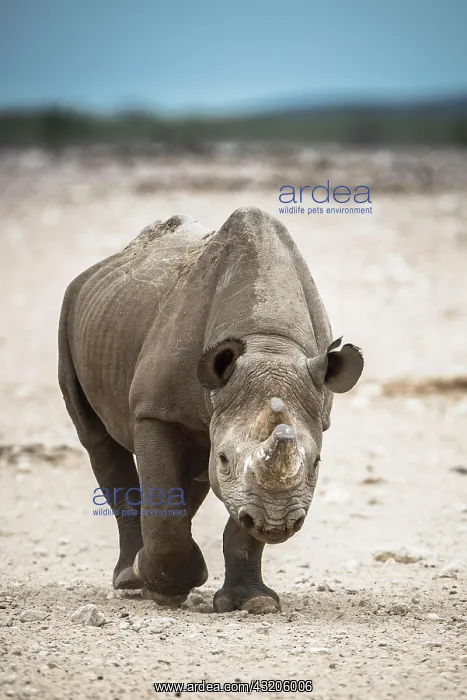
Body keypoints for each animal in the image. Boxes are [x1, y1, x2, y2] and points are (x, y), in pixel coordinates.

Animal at [58, 206, 363, 614]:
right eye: (224, 460)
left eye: (316, 465)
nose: (277, 524)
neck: (267, 342)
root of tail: (102, 265)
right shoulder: (155, 410)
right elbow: (166, 497)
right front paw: (166, 590)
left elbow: (240, 523)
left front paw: (252, 602)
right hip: (70, 307)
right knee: (98, 441)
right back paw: (131, 579)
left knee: (192, 472)